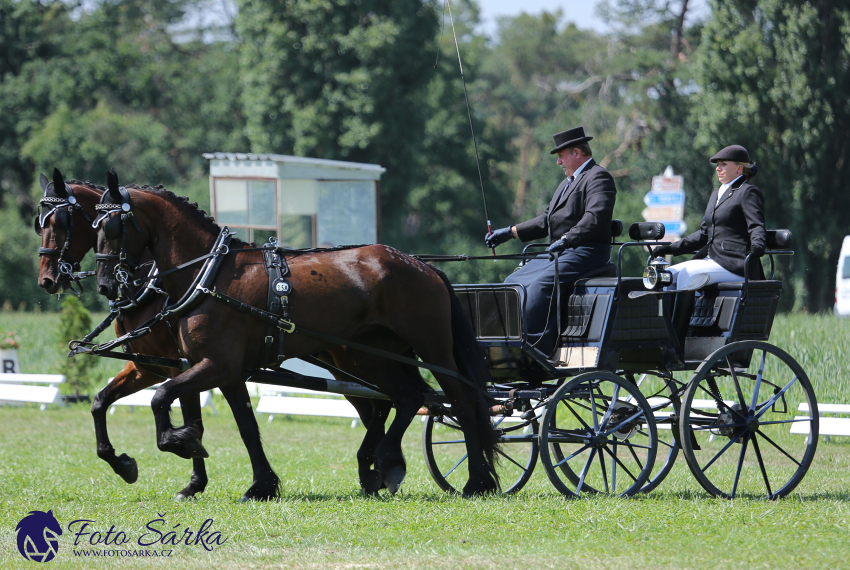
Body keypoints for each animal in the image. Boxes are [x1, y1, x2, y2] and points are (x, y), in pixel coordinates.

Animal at [95, 175, 500, 494]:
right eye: (94, 226)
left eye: (111, 227)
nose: (104, 285)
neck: (209, 275)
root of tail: (421, 265)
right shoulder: (218, 370)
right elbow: (245, 426)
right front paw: (259, 485)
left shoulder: (214, 365)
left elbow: (161, 398)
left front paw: (181, 443)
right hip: (372, 356)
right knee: (406, 398)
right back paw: (386, 463)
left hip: (433, 350)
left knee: (462, 402)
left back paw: (476, 481)